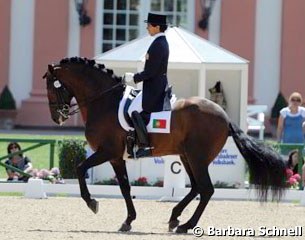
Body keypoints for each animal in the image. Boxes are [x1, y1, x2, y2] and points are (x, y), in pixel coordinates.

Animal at [44, 57, 286, 234]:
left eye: (51, 87)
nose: (57, 117)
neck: (104, 102)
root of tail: (225, 118)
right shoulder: (116, 157)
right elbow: (125, 187)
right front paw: (128, 221)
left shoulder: (107, 151)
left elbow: (80, 169)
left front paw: (92, 203)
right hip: (187, 156)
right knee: (197, 187)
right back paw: (174, 217)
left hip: (197, 157)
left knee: (206, 189)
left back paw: (185, 225)